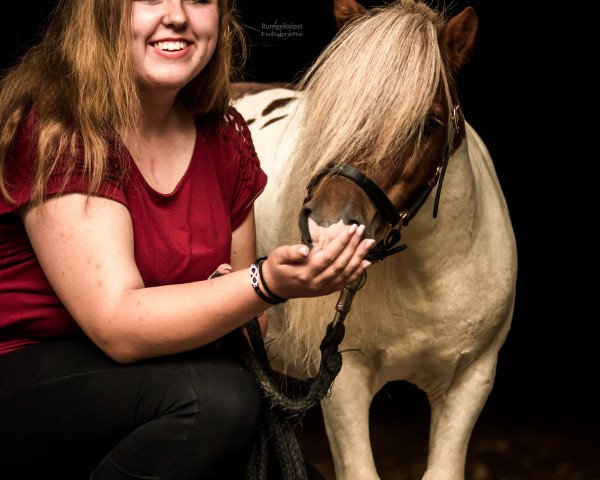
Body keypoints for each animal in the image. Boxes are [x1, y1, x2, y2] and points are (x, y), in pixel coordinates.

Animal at [232, 1, 516, 478]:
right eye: (330, 112)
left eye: (428, 125)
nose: (328, 231)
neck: (428, 278)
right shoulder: (344, 380)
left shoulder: (471, 379)